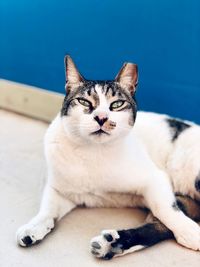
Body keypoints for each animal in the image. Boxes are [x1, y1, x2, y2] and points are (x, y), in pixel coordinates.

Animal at [16, 56, 200, 260]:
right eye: (84, 102)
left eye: (117, 104)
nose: (101, 118)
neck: (92, 152)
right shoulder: (60, 191)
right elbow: (47, 211)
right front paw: (33, 228)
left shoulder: (155, 179)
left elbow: (166, 210)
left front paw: (190, 232)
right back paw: (111, 245)